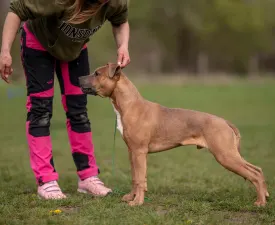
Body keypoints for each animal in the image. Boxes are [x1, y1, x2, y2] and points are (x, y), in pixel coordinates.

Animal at [79, 63, 270, 207]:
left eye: (97, 73)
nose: (79, 78)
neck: (129, 105)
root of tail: (224, 121)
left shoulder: (139, 152)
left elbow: (140, 179)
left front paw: (137, 202)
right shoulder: (132, 152)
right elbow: (135, 177)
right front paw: (131, 197)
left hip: (225, 156)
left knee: (254, 174)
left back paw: (260, 202)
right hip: (230, 155)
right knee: (258, 170)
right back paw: (265, 195)